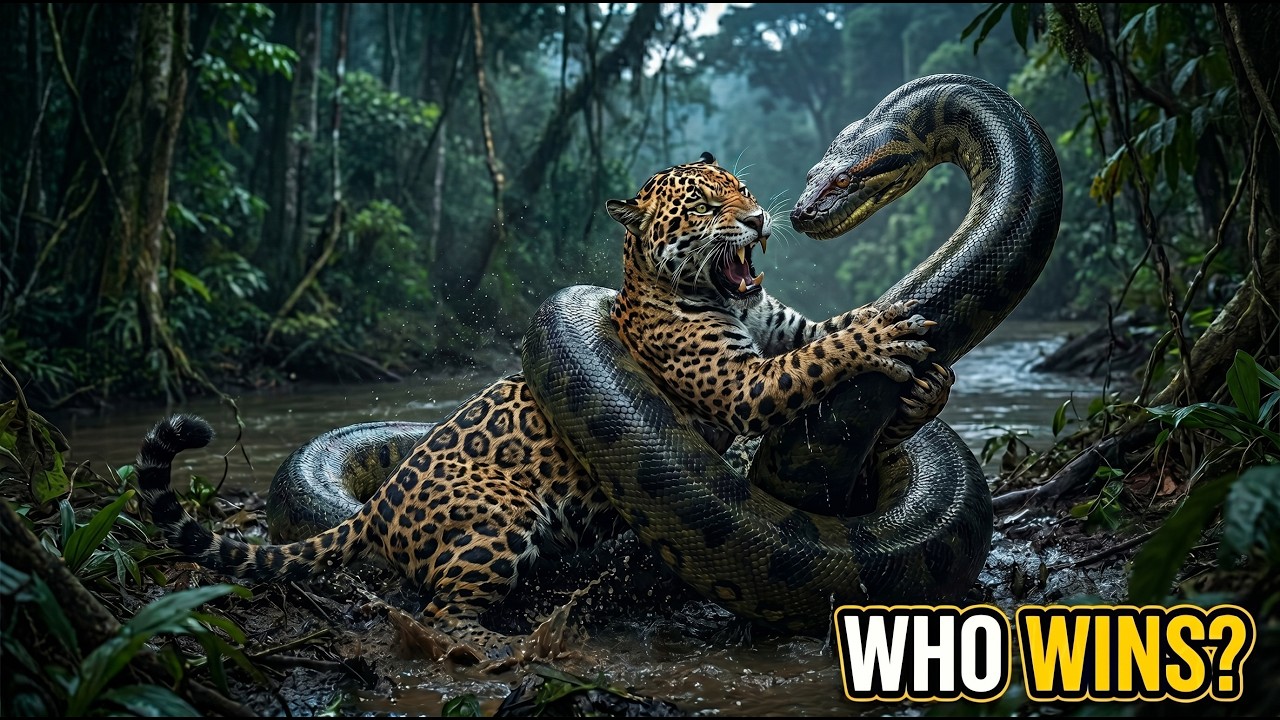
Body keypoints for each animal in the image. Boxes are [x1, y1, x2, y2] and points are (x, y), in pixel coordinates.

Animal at [135, 152, 951, 662]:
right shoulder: (737, 384)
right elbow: (815, 361)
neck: (723, 297)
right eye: (702, 205)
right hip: (499, 519)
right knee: (441, 610)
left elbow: (824, 334)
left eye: (740, 187)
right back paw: (493, 646)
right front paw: (879, 335)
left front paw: (921, 376)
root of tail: (381, 501)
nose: (754, 220)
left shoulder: (779, 326)